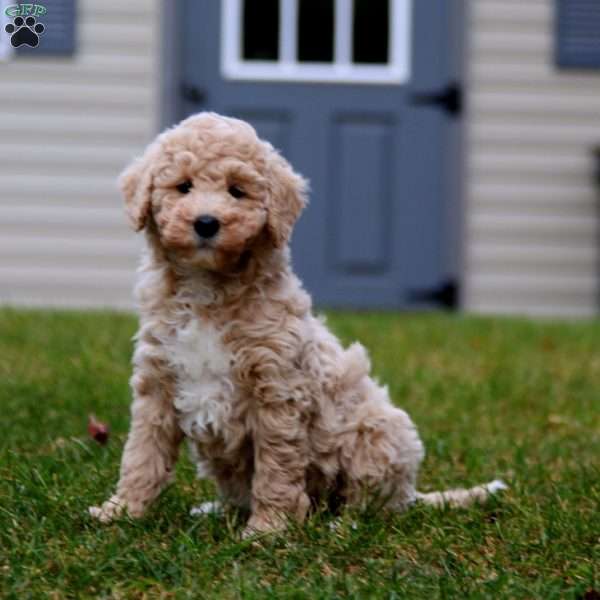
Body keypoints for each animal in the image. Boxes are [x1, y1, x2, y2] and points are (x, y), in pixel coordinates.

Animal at [86, 112, 504, 536]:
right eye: (183, 186)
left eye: (237, 191)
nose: (206, 223)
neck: (208, 291)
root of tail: (411, 494)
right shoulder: (158, 381)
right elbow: (142, 453)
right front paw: (120, 511)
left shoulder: (277, 390)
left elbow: (276, 467)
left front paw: (267, 529)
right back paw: (216, 509)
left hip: (379, 433)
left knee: (372, 504)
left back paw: (342, 527)